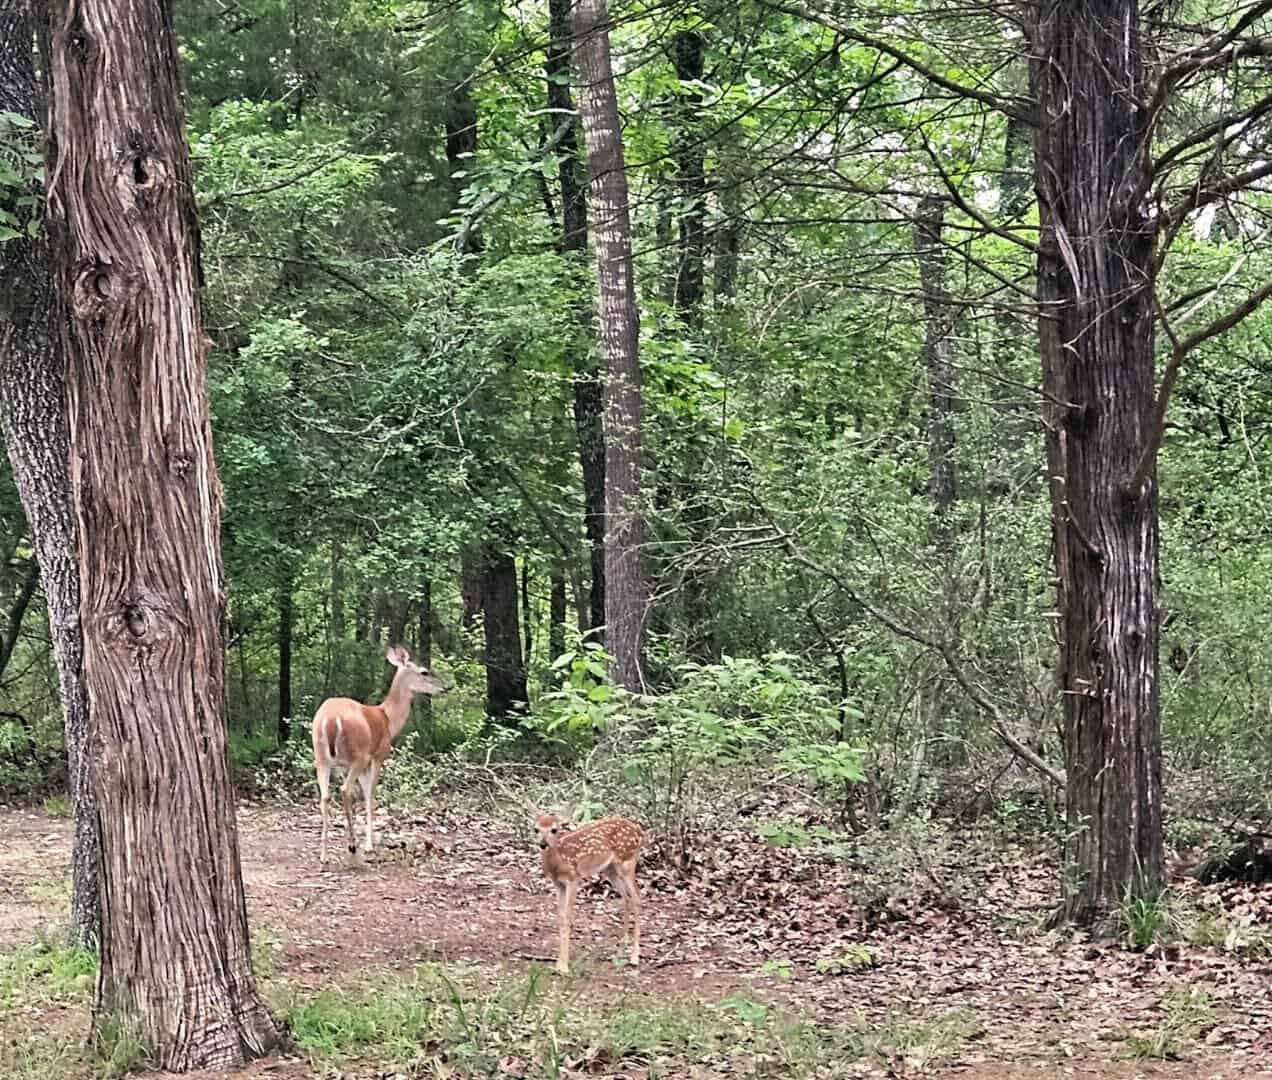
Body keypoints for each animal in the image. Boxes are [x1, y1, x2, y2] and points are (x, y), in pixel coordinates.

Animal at [312, 645, 447, 862]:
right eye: (424, 671)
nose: (446, 687)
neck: (388, 719)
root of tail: (330, 720)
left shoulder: (344, 765)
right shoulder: (377, 756)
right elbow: (370, 796)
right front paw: (369, 844)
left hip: (322, 758)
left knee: (325, 797)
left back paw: (324, 855)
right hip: (358, 754)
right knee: (345, 790)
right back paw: (352, 846)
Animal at [534, 810, 644, 975]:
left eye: (554, 829)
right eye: (536, 829)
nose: (543, 844)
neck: (558, 860)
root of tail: (639, 830)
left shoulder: (573, 879)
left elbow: (568, 917)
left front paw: (564, 966)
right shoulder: (558, 884)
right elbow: (560, 917)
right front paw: (558, 964)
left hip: (627, 862)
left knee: (637, 897)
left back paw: (634, 957)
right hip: (610, 869)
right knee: (627, 898)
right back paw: (619, 952)